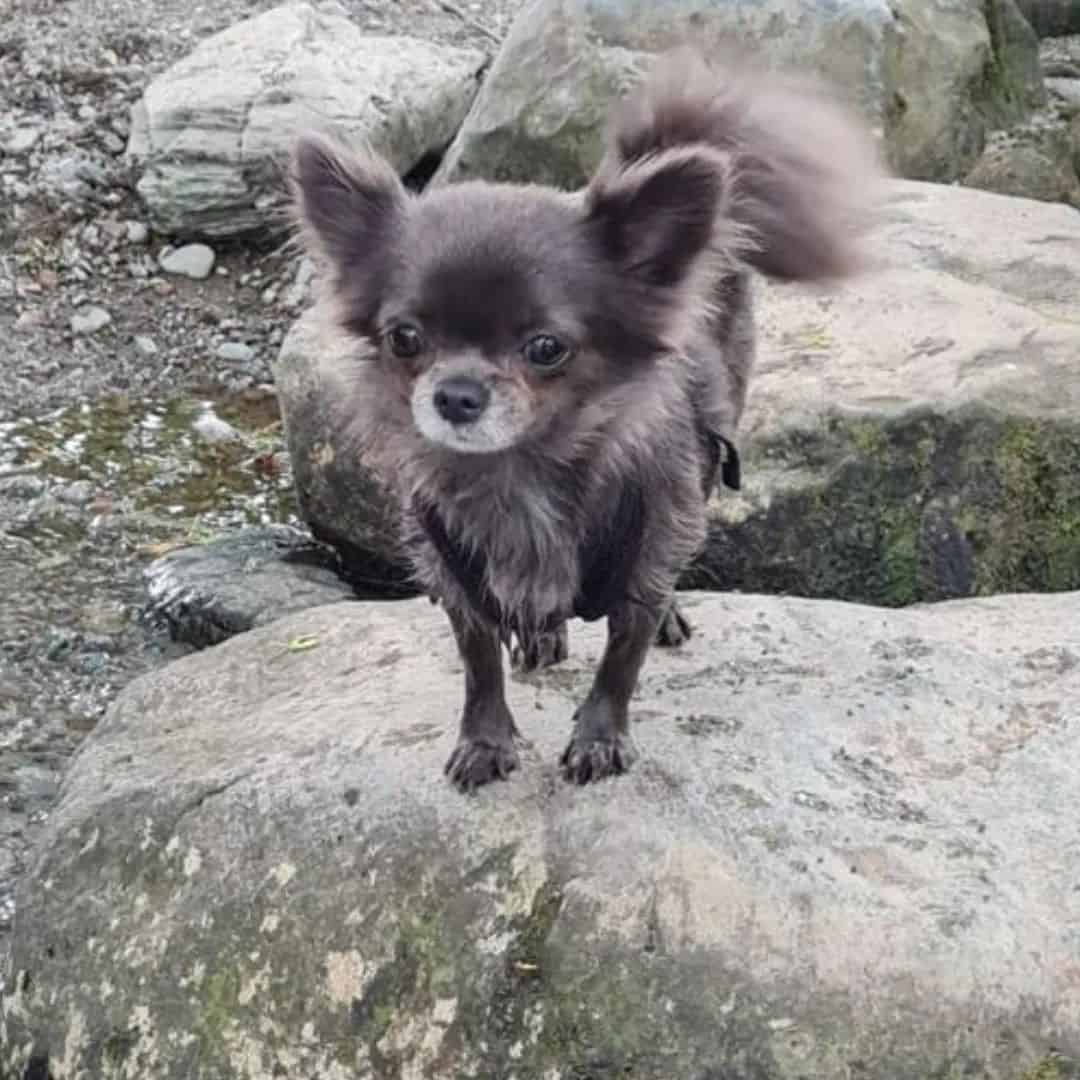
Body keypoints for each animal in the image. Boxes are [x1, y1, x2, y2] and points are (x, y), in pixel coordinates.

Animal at [289, 46, 885, 794]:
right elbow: (478, 662)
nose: (456, 394)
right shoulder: (453, 577)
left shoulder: (647, 555)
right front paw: (484, 740)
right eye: (405, 338)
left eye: (546, 348)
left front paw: (600, 739)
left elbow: (621, 659)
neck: (518, 473)